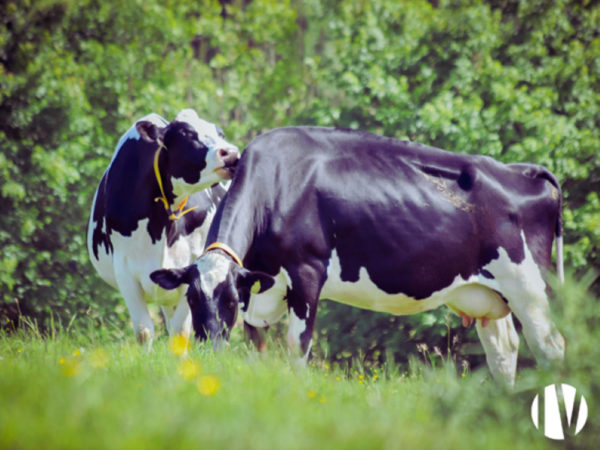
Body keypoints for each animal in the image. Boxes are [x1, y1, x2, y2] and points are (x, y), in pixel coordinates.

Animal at [86, 109, 239, 348]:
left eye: (220, 133)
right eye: (186, 133)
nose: (230, 153)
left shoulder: (190, 268)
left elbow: (180, 333)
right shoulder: (124, 269)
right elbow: (144, 331)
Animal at [149, 125, 564, 384]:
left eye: (231, 301)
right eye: (192, 297)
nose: (210, 349)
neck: (278, 182)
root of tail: (521, 170)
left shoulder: (306, 274)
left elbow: (298, 347)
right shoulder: (261, 291)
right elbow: (258, 348)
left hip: (531, 289)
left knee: (551, 350)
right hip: (487, 296)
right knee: (504, 351)